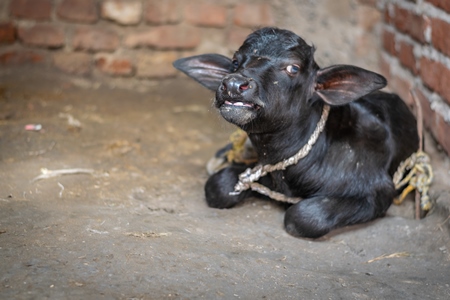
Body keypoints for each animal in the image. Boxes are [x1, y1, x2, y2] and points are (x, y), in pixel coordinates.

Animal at [172, 27, 418, 238]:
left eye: (293, 68)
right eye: (235, 62)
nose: (233, 84)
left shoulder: (377, 191)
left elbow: (301, 216)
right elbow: (217, 184)